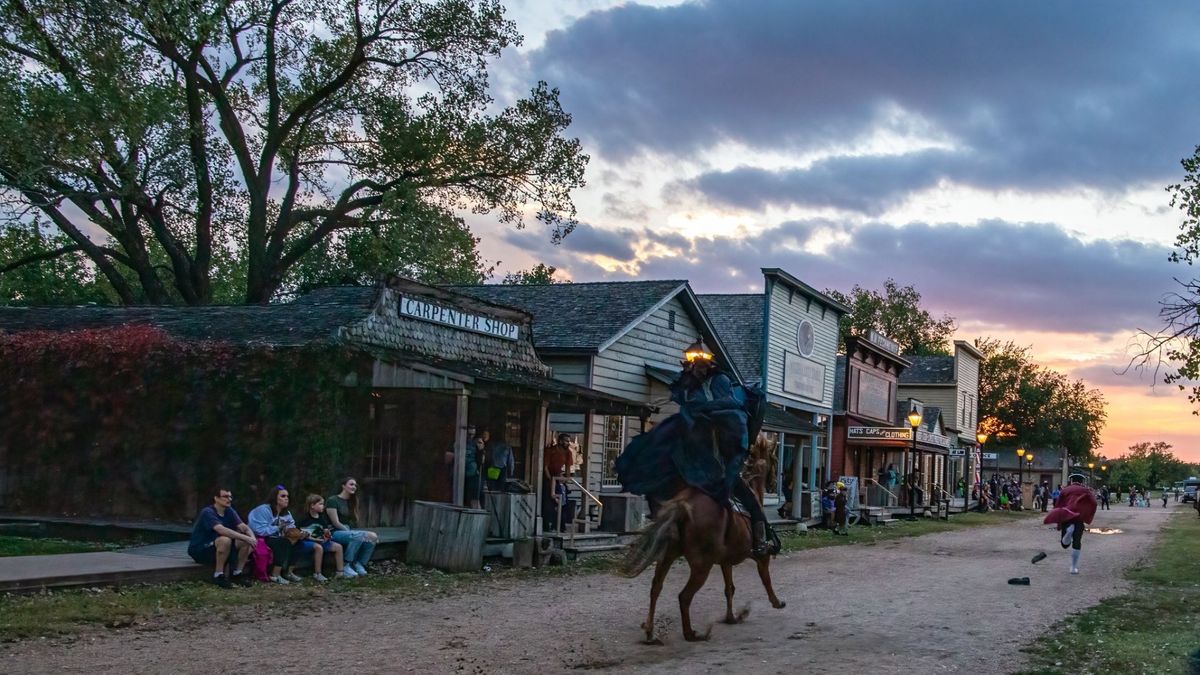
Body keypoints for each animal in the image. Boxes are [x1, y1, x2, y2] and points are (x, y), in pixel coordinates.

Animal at [619, 482, 787, 638]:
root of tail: (682, 506)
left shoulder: (726, 562)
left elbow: (729, 589)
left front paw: (731, 618)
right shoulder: (761, 557)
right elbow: (766, 580)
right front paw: (777, 602)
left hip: (668, 557)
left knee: (656, 588)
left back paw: (649, 630)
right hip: (702, 566)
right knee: (684, 596)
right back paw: (691, 634)